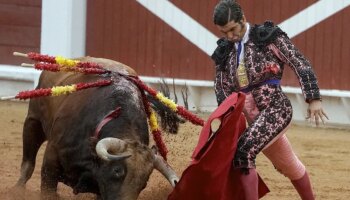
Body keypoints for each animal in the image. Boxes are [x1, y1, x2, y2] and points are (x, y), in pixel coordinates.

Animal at [15, 56, 179, 200]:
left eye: (144, 183)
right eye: (117, 171)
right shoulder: (51, 162)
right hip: (33, 121)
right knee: (28, 164)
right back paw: (16, 190)